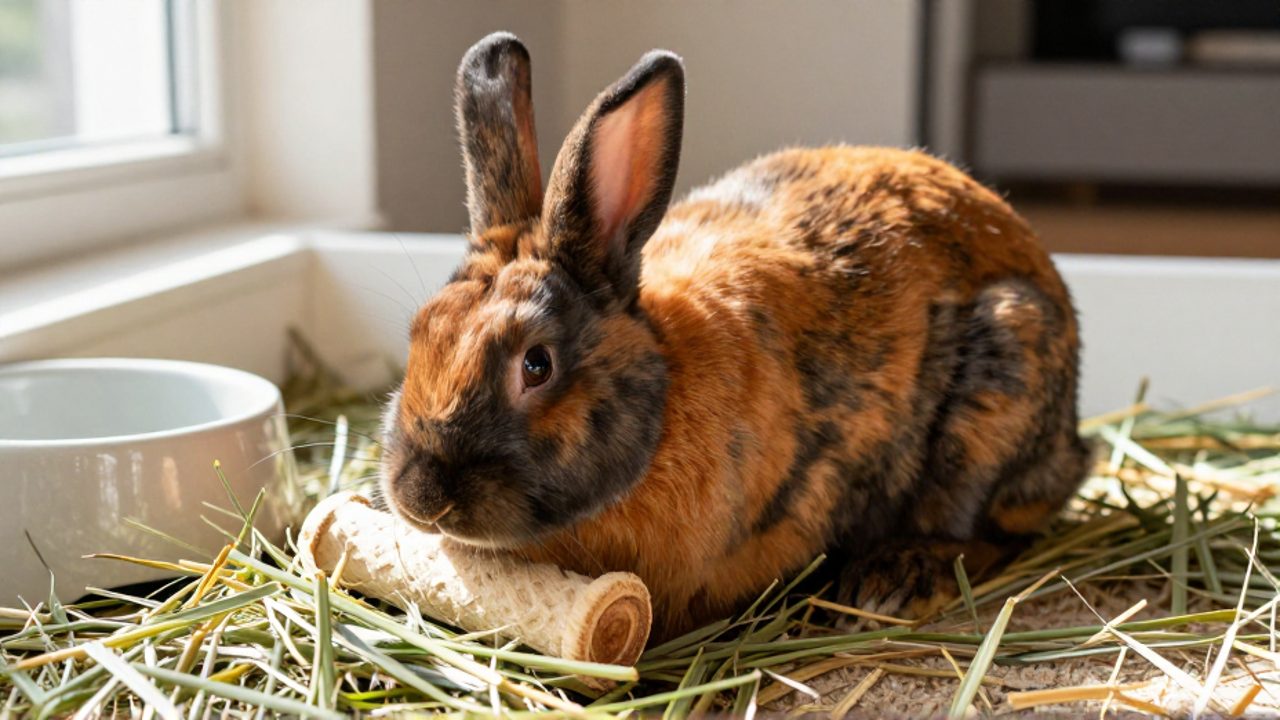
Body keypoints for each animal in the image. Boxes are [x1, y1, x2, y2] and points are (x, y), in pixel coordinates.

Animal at [379, 32, 1091, 641]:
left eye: (536, 365)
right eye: (420, 332)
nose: (419, 495)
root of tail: (1073, 444)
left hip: (1001, 382)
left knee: (991, 531)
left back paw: (897, 580)